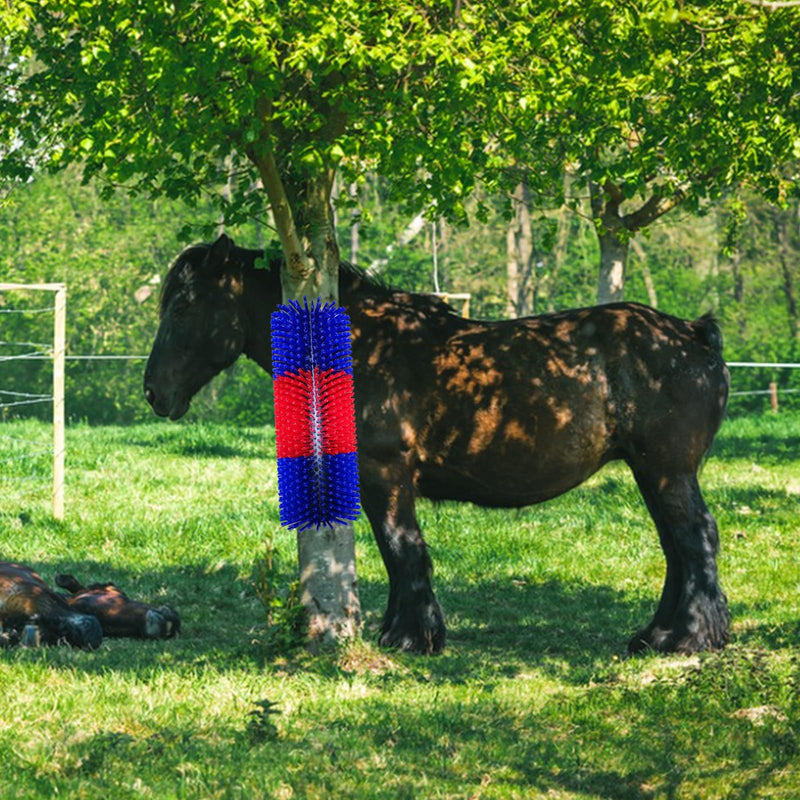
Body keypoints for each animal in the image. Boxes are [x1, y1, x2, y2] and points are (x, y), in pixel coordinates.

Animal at [144, 233, 730, 655]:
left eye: (183, 307)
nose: (153, 391)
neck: (360, 348)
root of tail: (693, 334)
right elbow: (396, 554)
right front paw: (402, 630)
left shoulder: (385, 473)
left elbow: (403, 549)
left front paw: (411, 637)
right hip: (651, 472)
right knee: (677, 548)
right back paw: (655, 636)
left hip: (667, 470)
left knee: (694, 538)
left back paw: (687, 638)